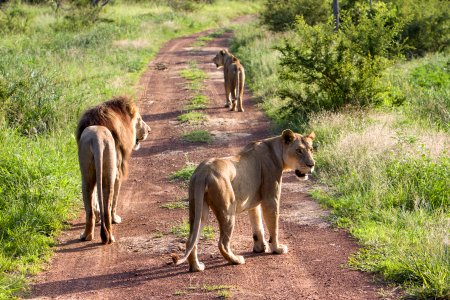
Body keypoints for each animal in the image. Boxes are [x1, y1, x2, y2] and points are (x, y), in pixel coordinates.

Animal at [75, 96, 149, 244]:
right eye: (139, 119)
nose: (149, 130)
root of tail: (96, 137)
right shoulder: (118, 172)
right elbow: (114, 200)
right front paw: (116, 218)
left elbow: (96, 201)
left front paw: (98, 216)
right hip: (109, 172)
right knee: (108, 207)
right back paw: (101, 236)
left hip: (87, 176)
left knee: (91, 209)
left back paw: (95, 236)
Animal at [173, 129, 316, 272]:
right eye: (299, 150)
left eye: (311, 149)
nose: (312, 165)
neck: (276, 150)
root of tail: (202, 172)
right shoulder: (270, 198)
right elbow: (273, 226)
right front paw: (277, 248)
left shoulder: (254, 203)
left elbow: (257, 225)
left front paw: (260, 247)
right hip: (228, 210)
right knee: (222, 243)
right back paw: (236, 260)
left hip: (199, 209)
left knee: (191, 239)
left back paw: (196, 267)